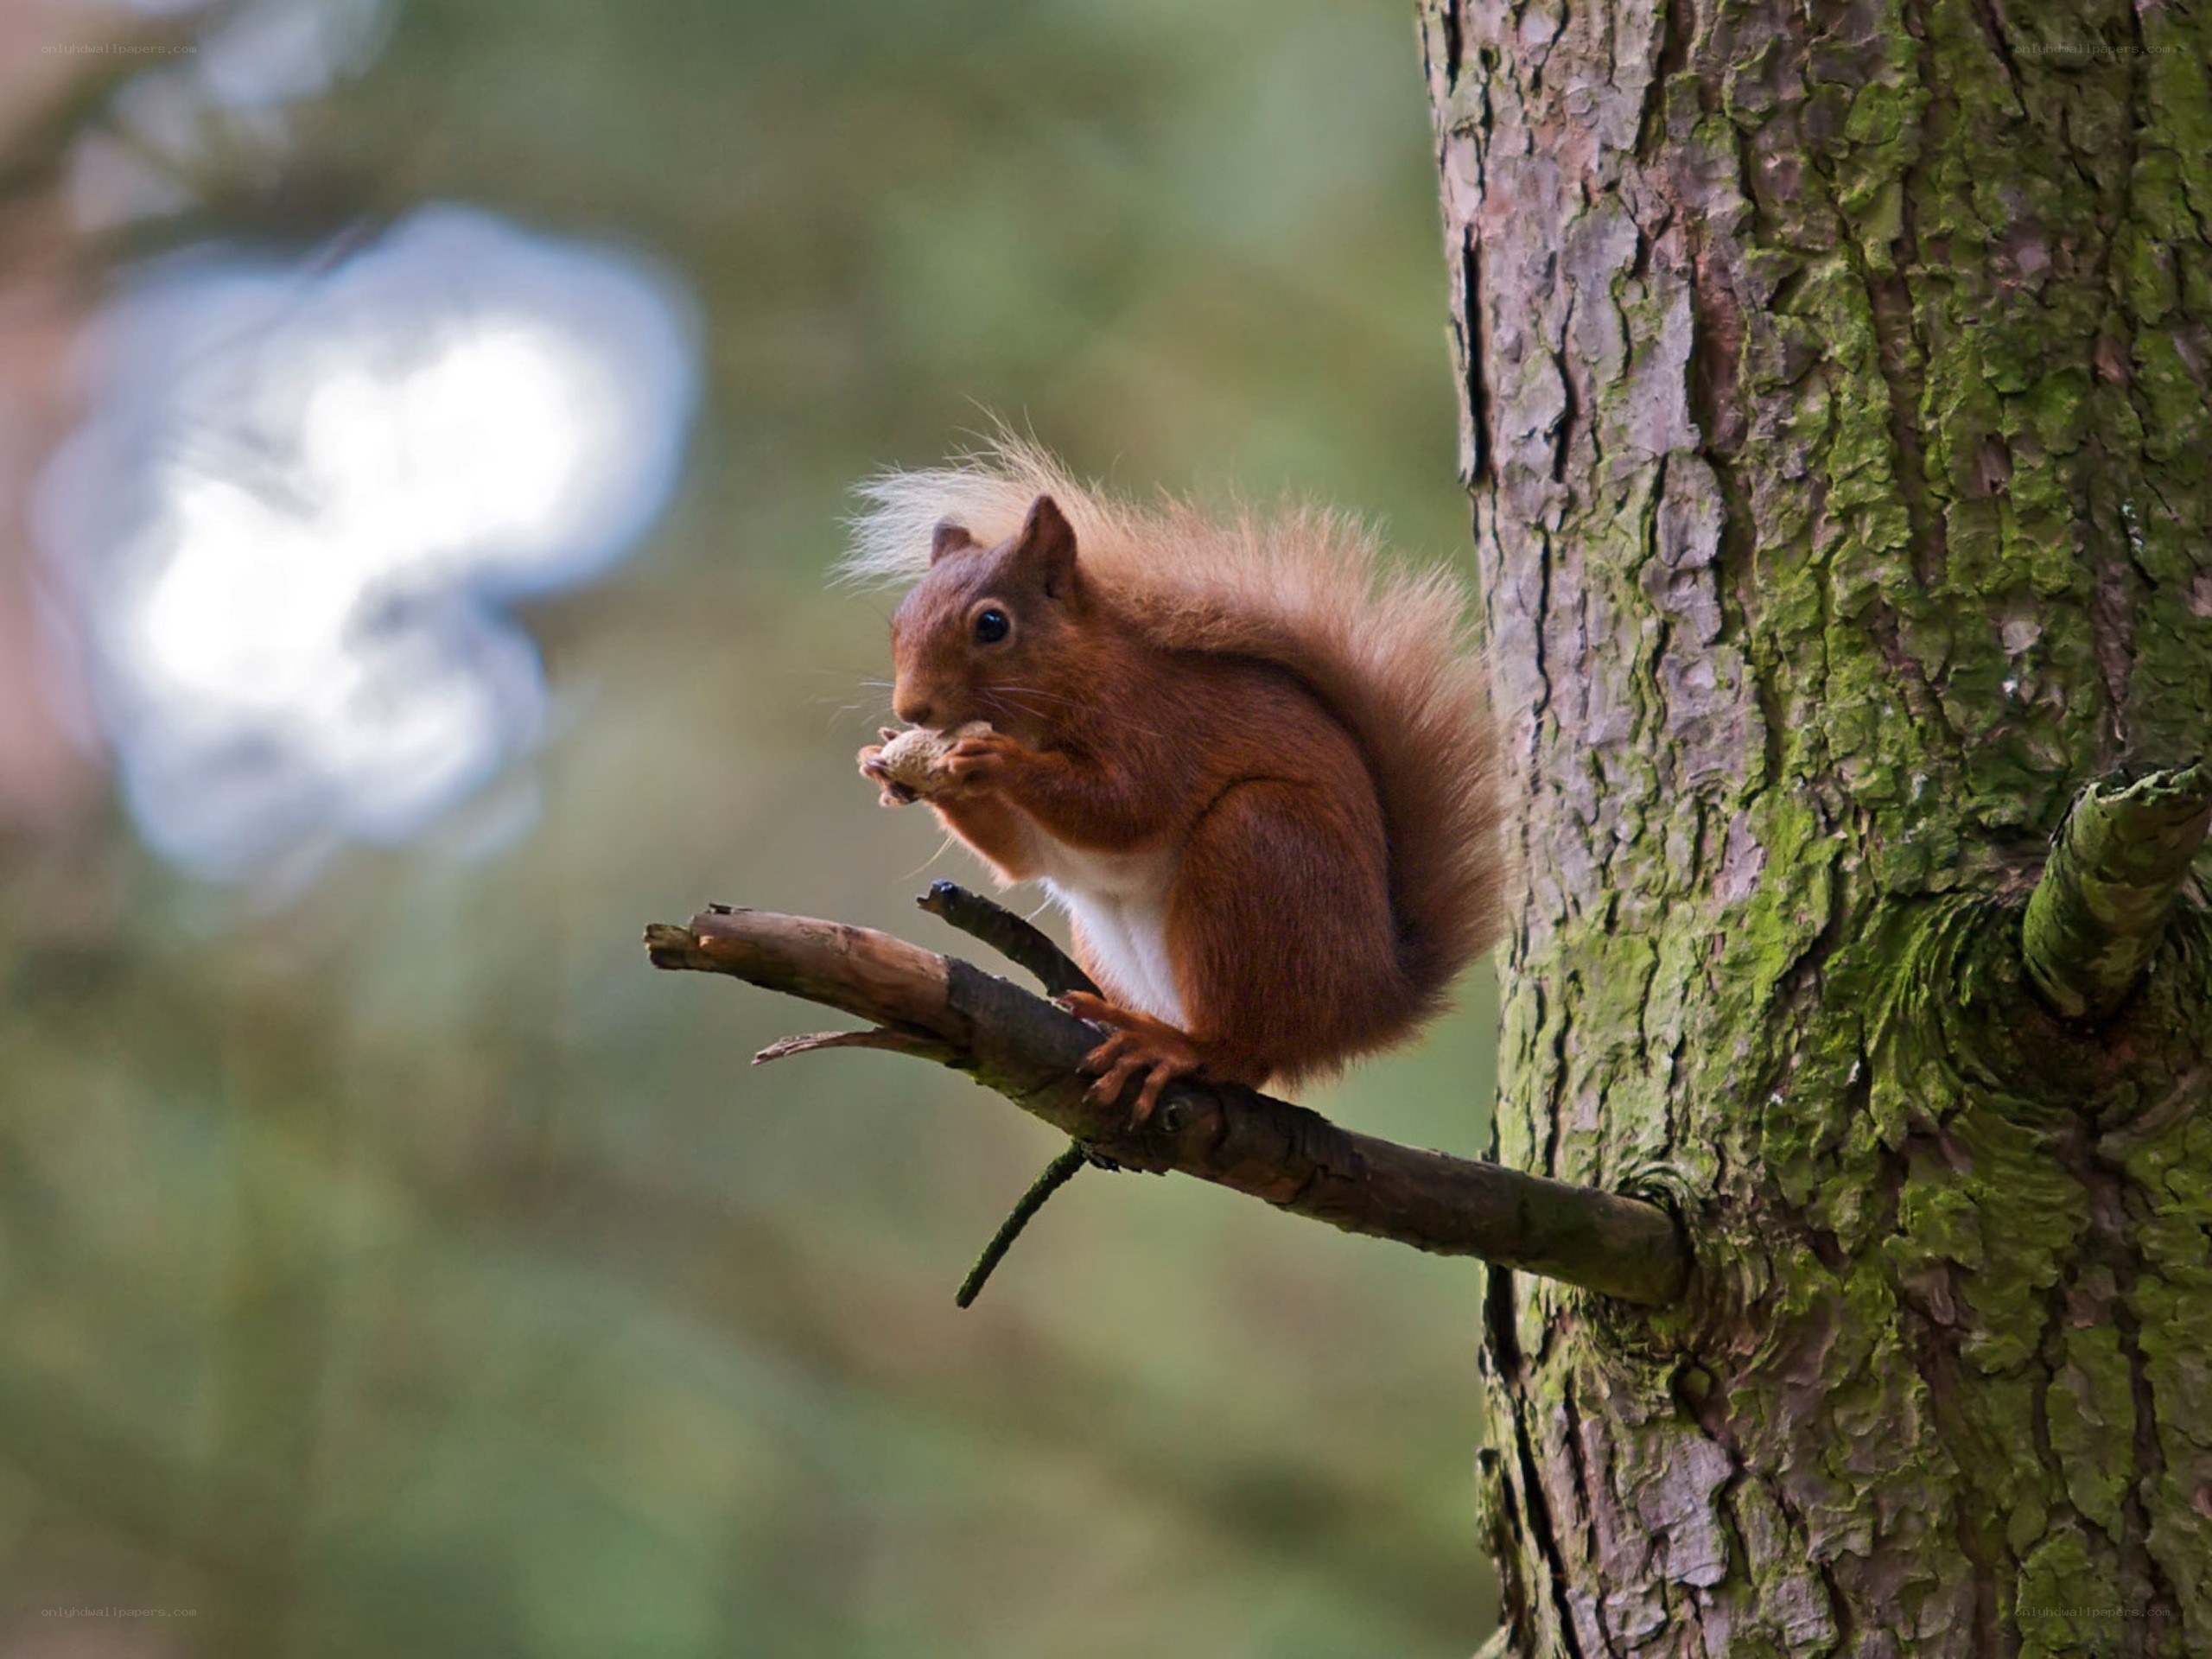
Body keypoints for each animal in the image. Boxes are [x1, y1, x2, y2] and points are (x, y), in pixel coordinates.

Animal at [849, 440, 1506, 1119]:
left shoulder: (1158, 726)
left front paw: (993, 760)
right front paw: (884, 763)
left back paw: (1171, 1046)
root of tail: (1373, 1001)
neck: (1072, 681)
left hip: (1257, 856)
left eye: (992, 625)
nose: (912, 710)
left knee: (1244, 1050)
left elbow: (1125, 808)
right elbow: (1020, 858)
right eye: (899, 622)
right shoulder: (1036, 834)